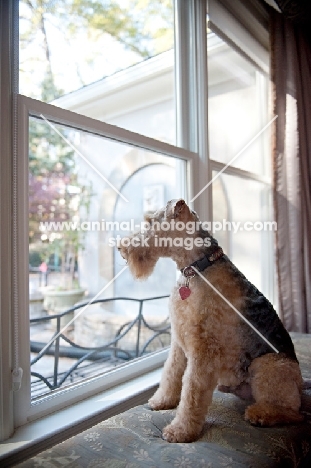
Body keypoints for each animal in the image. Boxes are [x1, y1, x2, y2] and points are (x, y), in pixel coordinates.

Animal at [118, 197, 304, 442]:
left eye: (150, 222)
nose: (120, 247)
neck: (197, 268)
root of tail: (302, 384)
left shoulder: (203, 349)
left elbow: (191, 390)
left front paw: (180, 431)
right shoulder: (179, 340)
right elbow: (171, 372)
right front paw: (162, 401)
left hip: (266, 365)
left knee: (293, 412)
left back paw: (259, 414)